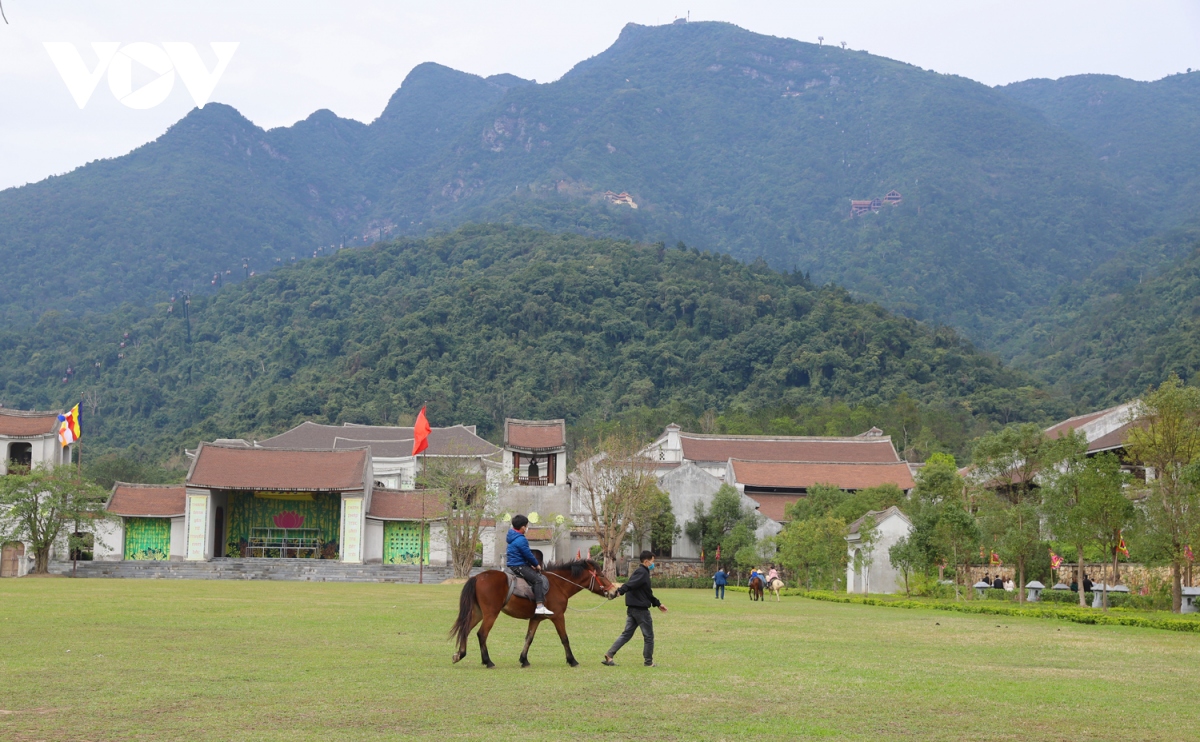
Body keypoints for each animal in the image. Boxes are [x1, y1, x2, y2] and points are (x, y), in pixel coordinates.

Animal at [451, 557, 619, 667]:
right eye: (602, 575)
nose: (615, 591)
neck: (558, 584)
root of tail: (478, 577)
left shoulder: (536, 619)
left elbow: (529, 638)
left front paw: (524, 660)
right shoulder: (558, 617)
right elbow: (564, 638)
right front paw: (572, 660)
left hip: (478, 613)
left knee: (465, 630)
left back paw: (460, 654)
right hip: (491, 614)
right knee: (482, 634)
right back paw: (488, 661)